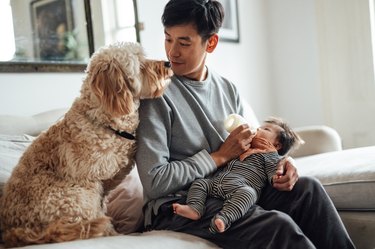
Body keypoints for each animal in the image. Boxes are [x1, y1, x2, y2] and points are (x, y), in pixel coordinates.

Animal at [0, 41, 173, 246]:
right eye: (140, 65)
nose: (168, 63)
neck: (100, 119)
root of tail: (16, 231)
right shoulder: (95, 177)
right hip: (74, 197)